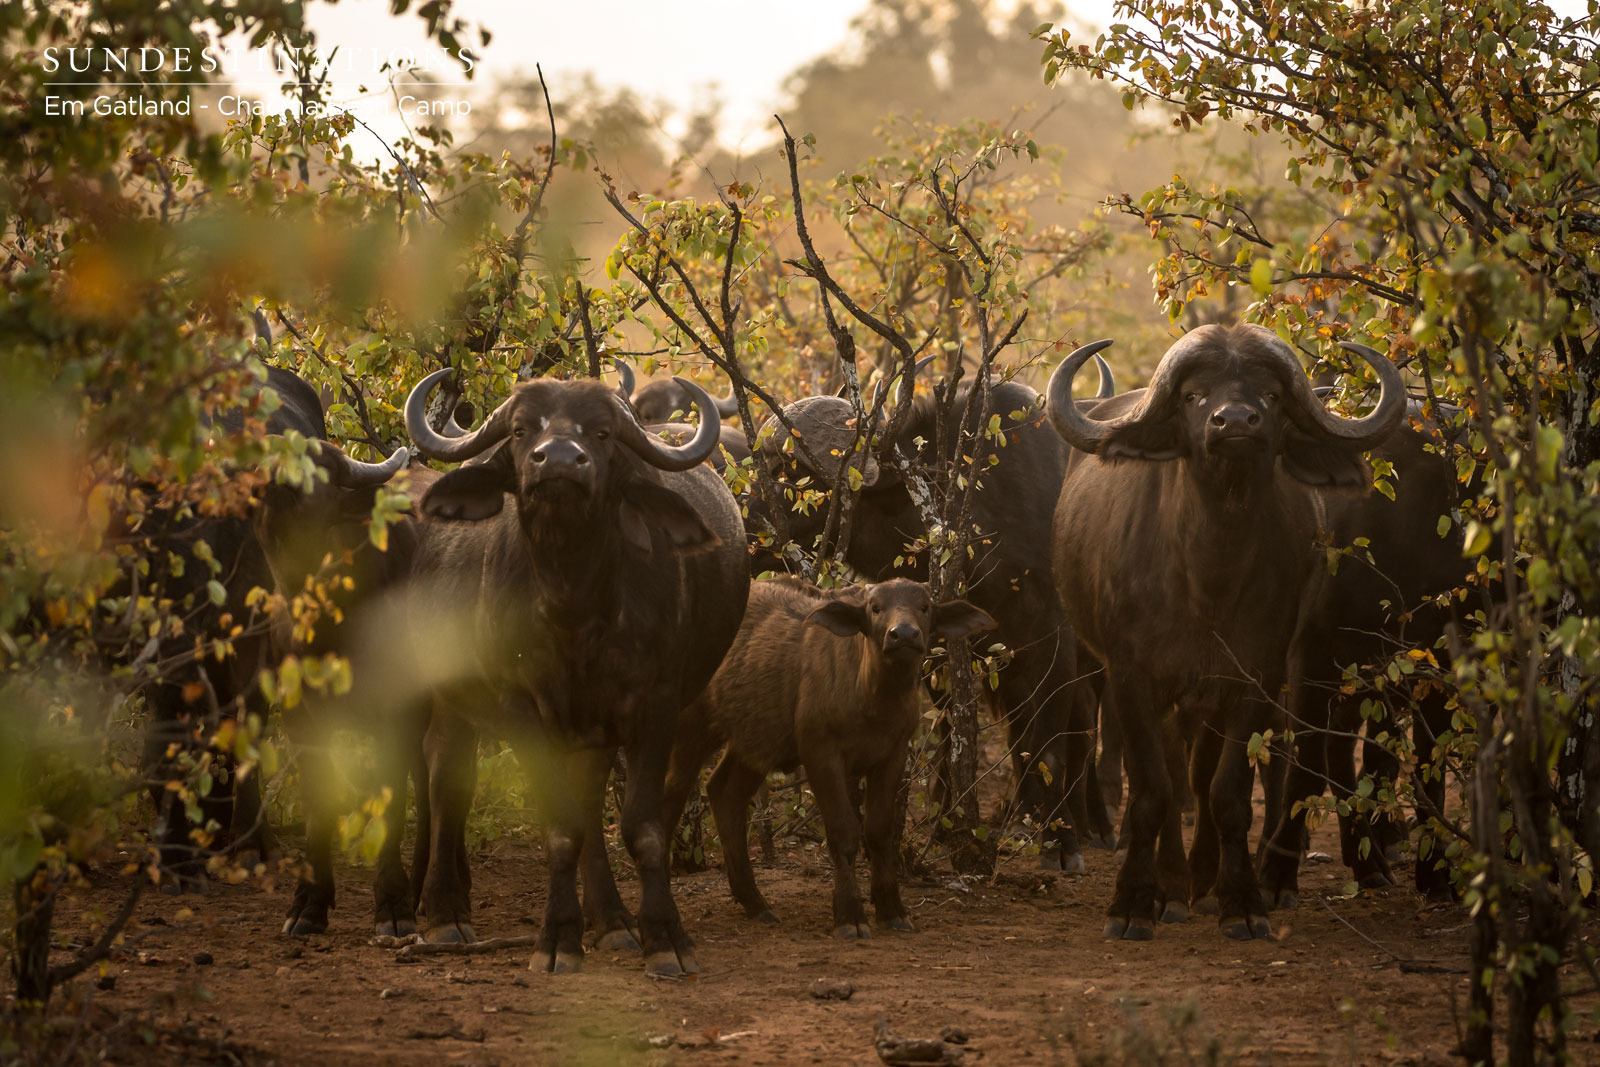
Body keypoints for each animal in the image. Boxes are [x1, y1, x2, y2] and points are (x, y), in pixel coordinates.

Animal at [403, 370, 748, 976]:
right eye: (521, 430)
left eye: (603, 432)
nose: (560, 461)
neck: (574, 608)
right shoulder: (520, 707)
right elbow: (559, 826)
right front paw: (557, 940)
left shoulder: (654, 704)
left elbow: (641, 828)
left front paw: (664, 939)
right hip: (452, 694)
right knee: (448, 777)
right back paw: (446, 915)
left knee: (585, 800)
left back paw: (612, 923)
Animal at [662, 577, 994, 937]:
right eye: (875, 607)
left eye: (925, 607)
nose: (904, 634)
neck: (873, 700)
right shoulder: (821, 752)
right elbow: (843, 831)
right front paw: (850, 915)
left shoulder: (892, 755)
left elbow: (879, 832)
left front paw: (892, 910)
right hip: (691, 726)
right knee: (671, 795)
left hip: (755, 740)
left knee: (725, 793)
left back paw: (756, 904)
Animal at [1045, 323, 1404, 941]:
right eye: (1193, 395)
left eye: (1272, 395)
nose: (1235, 421)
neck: (1208, 574)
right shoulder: (1132, 678)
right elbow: (1152, 791)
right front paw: (1133, 904)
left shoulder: (1254, 679)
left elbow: (1227, 792)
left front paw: (1240, 901)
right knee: (1171, 778)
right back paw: (1170, 887)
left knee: (1197, 774)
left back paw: (1199, 881)